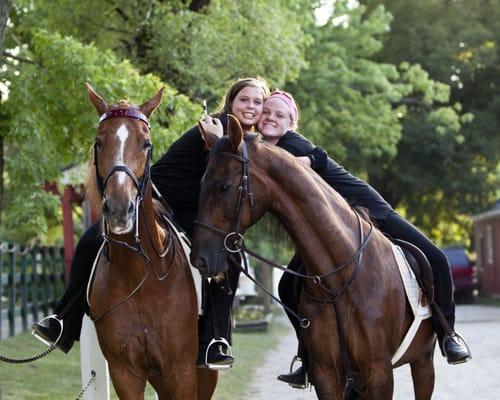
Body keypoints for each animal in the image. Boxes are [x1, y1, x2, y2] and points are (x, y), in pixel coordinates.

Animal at [84, 83, 217, 398]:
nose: (119, 209)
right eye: (99, 142)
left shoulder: (181, 371)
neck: (139, 274)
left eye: (146, 143)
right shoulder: (125, 373)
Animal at [191, 115, 438, 400]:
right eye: (201, 183)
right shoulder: (327, 373)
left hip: (422, 361)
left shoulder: (379, 373)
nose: (200, 259)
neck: (342, 279)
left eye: (224, 187)